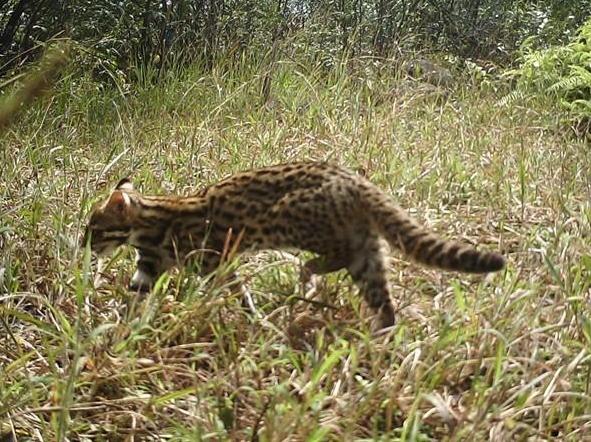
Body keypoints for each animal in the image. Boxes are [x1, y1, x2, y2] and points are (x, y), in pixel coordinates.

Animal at [83, 162, 506, 328]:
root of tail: (355, 180)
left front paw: (251, 319)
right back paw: (379, 339)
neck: (150, 225)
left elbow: (235, 293)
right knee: (384, 303)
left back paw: (308, 274)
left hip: (288, 219)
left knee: (335, 256)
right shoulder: (148, 268)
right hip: (367, 253)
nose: (85, 246)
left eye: (94, 228)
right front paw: (111, 331)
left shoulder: (217, 262)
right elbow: (134, 296)